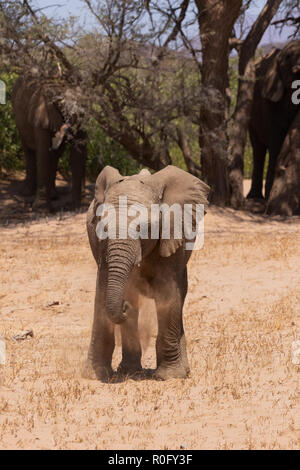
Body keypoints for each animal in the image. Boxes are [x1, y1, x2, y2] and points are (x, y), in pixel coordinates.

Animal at [12, 76, 86, 210]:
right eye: (62, 106)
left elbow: (77, 155)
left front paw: (74, 207)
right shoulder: (41, 114)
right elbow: (43, 153)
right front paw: (41, 209)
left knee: (54, 157)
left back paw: (53, 196)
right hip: (19, 120)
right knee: (29, 151)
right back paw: (27, 193)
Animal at [84, 165, 210, 382]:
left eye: (146, 228)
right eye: (102, 226)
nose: (123, 306)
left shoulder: (171, 234)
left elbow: (169, 293)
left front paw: (169, 377)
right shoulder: (100, 246)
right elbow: (102, 289)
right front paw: (95, 375)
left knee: (179, 296)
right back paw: (129, 371)